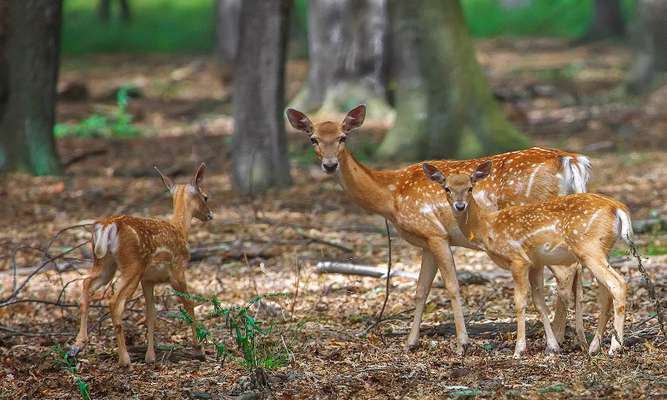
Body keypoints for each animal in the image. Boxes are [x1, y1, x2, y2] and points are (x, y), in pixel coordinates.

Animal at [68, 162, 214, 366]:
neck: (180, 230)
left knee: (86, 284)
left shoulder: (148, 280)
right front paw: (198, 349)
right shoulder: (177, 270)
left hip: (104, 263)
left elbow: (150, 314)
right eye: (206, 196)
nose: (210, 215)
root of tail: (107, 226)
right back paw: (124, 359)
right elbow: (189, 305)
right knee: (114, 301)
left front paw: (150, 356)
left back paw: (79, 343)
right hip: (132, 266)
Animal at [288, 104, 596, 354]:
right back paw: (574, 339)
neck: (390, 195)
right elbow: (421, 289)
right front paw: (410, 343)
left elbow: (451, 286)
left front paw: (462, 343)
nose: (330, 165)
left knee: (567, 274)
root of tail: (571, 160)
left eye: (343, 136)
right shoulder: (426, 241)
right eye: (313, 138)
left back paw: (557, 340)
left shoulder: (435, 233)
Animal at [422, 161, 632, 358]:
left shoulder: (518, 259)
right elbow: (540, 304)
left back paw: (615, 347)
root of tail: (619, 208)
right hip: (601, 250)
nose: (460, 206)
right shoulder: (535, 263)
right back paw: (594, 347)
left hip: (589, 248)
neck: (487, 227)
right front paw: (552, 347)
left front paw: (519, 349)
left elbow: (520, 302)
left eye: (470, 187)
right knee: (606, 293)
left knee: (618, 284)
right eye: (447, 188)